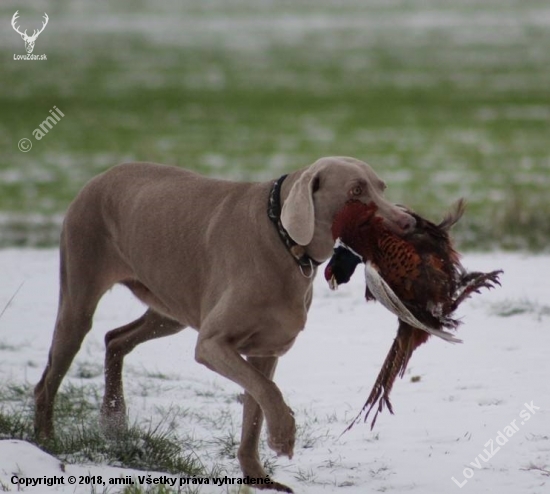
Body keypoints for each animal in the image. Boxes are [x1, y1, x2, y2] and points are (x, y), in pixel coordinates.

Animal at [33, 156, 414, 492]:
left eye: (381, 187)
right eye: (355, 191)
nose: (409, 222)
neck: (283, 241)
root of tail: (99, 177)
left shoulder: (265, 352)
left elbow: (255, 408)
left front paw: (258, 477)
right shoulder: (212, 344)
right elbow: (268, 392)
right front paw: (284, 436)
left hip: (170, 308)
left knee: (115, 338)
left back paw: (114, 417)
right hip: (80, 288)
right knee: (49, 378)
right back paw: (46, 443)